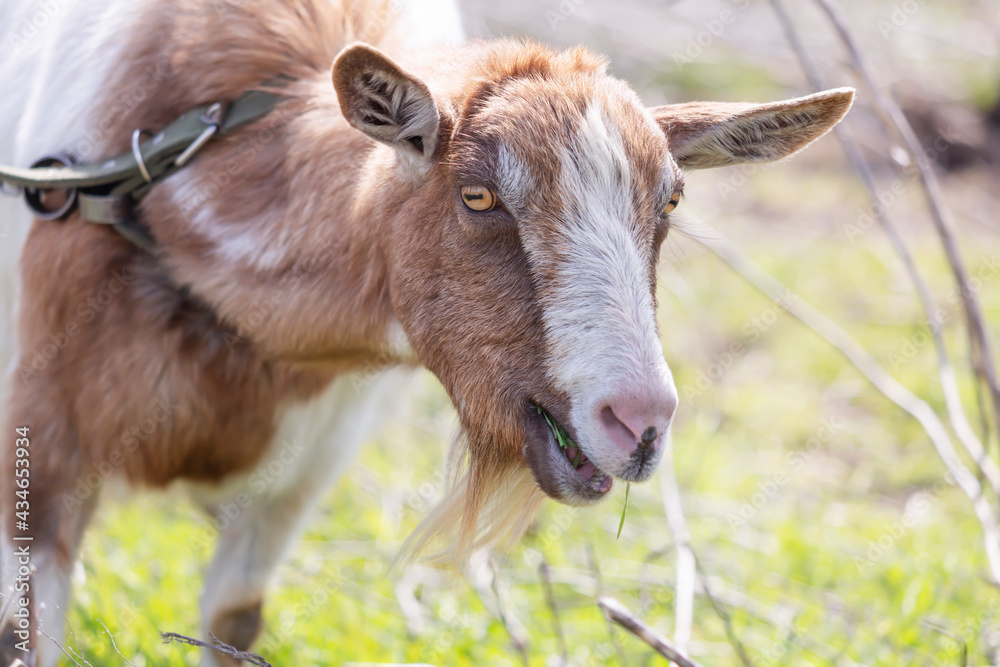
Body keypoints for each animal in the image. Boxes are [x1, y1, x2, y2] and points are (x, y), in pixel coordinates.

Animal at [0, 0, 853, 664]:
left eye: (670, 203)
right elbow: (26, 632)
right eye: (477, 196)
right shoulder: (37, 444)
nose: (637, 422)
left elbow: (235, 620)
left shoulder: (307, 465)